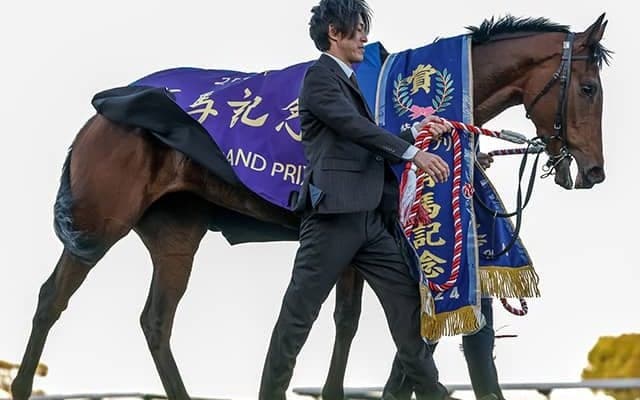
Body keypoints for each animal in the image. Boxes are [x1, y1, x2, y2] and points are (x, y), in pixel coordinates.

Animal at [12, 14, 609, 400]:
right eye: (587, 88)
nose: (593, 172)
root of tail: (100, 114)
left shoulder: (371, 245)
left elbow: (375, 327)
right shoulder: (378, 236)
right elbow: (380, 327)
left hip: (176, 234)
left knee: (156, 321)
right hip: (101, 223)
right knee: (51, 298)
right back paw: (19, 385)